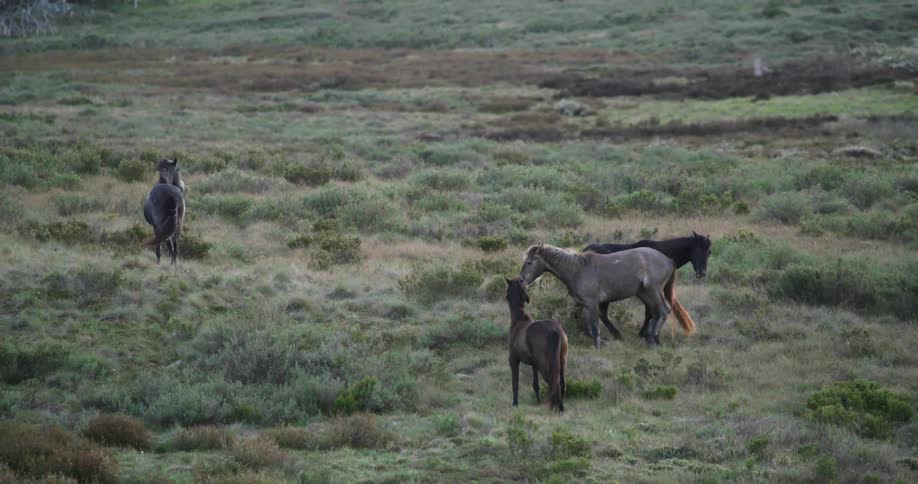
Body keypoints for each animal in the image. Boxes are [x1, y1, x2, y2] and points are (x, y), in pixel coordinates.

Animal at [505, 276, 568, 412]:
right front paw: (538, 402)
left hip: (546, 366)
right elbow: (535, 385)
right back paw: (561, 408)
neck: (519, 322)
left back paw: (556, 407)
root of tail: (555, 329)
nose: (505, 297)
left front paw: (515, 403)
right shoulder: (534, 364)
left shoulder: (513, 360)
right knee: (561, 383)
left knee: (553, 383)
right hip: (561, 361)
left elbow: (515, 383)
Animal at [519, 243, 695, 349]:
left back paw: (652, 337)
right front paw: (604, 340)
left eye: (529, 262)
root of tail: (668, 260)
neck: (578, 270)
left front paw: (599, 345)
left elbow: (595, 327)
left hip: (653, 291)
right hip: (644, 293)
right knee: (657, 312)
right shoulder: (585, 306)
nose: (521, 280)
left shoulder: (592, 304)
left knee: (664, 310)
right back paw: (651, 338)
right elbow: (588, 329)